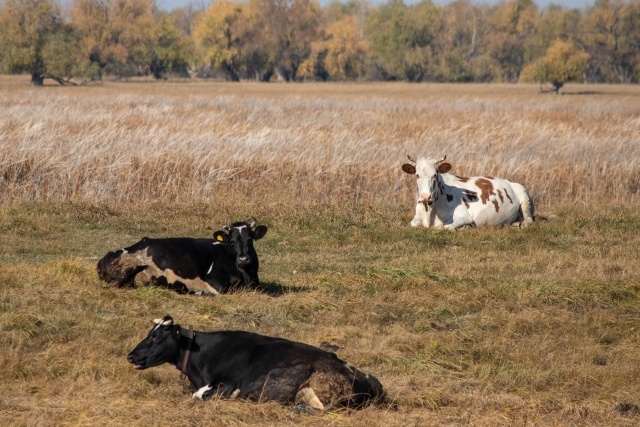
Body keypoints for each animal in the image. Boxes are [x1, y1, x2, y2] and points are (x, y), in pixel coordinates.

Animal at [402, 155, 534, 230]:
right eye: (417, 175)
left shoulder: (463, 216)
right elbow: (413, 224)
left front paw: (465, 227)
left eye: (435, 174)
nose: (425, 196)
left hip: (523, 194)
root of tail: (508, 181)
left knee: (529, 220)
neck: (429, 211)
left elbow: (446, 227)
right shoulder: (416, 219)